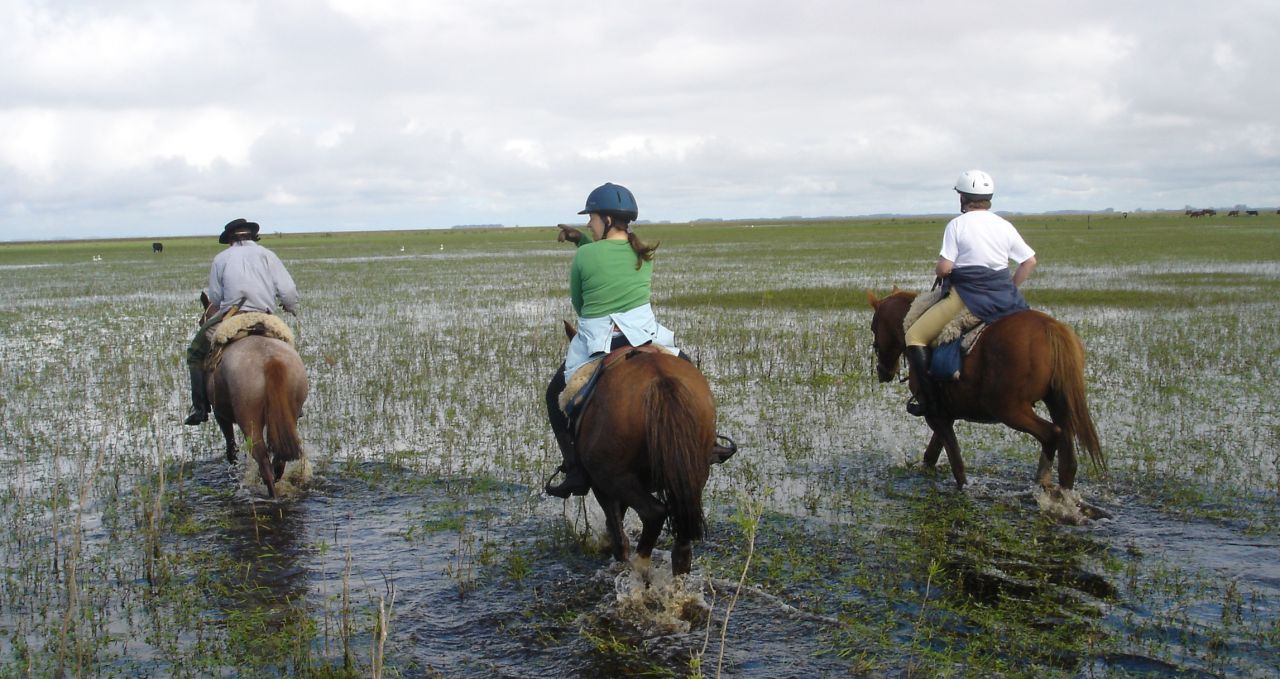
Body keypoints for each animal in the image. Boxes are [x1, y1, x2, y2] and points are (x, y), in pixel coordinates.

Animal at [199, 292, 309, 497]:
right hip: (290, 413)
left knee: (262, 458)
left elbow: (231, 449)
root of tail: (270, 360)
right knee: (279, 458)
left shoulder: (220, 415)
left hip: (248, 419)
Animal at [563, 320, 732, 573]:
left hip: (614, 476)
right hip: (695, 473)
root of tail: (660, 381)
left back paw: (639, 567)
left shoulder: (601, 484)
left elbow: (616, 527)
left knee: (653, 513)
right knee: (681, 539)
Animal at [865, 288, 1105, 489]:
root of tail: (1049, 326)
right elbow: (932, 454)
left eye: (873, 327)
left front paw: (963, 488)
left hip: (1009, 409)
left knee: (1051, 434)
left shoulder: (935, 415)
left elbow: (956, 462)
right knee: (1068, 460)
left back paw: (1042, 481)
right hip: (1057, 403)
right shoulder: (947, 414)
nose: (882, 370)